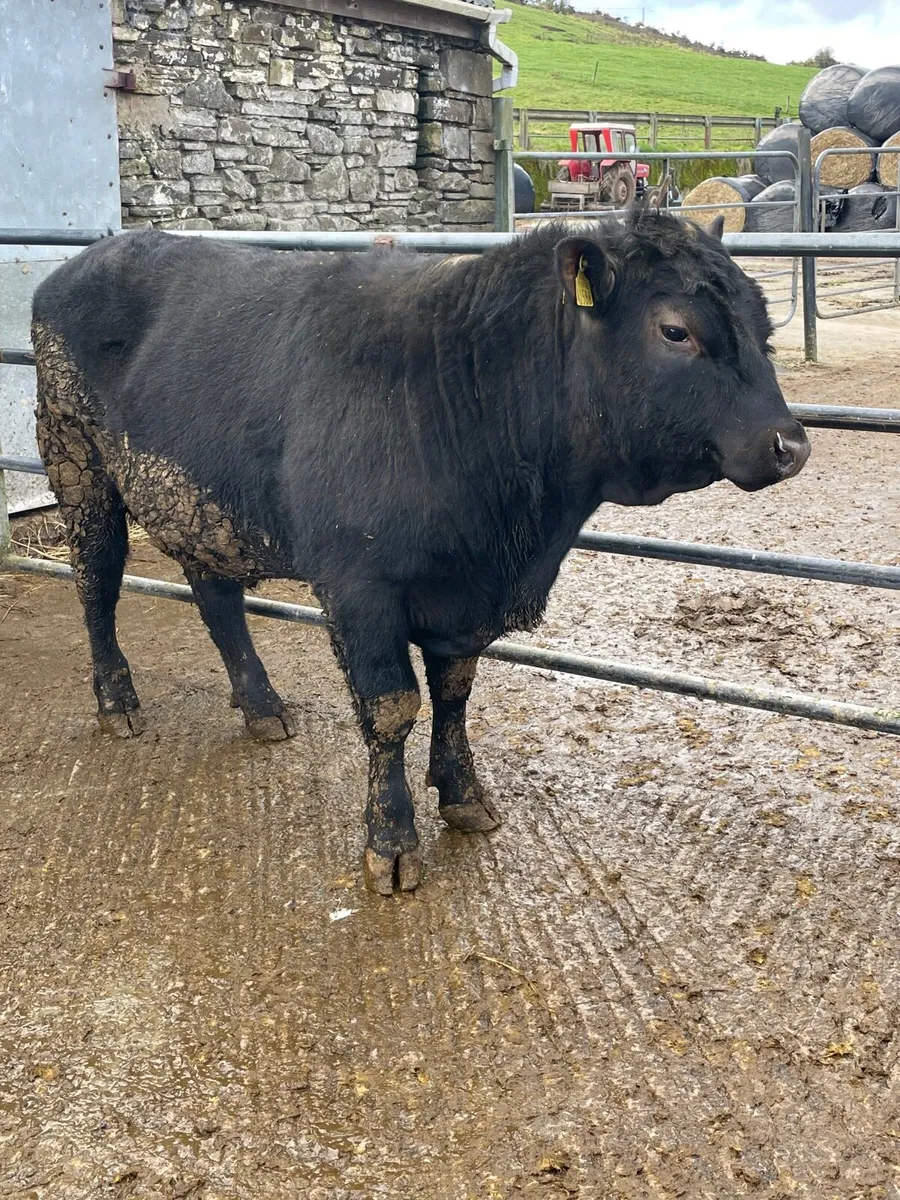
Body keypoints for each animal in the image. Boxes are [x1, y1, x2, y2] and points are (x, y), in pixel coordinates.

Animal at [31, 213, 810, 894]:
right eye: (676, 330)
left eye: (765, 329)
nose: (790, 444)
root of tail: (93, 255)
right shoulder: (359, 586)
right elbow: (391, 710)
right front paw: (391, 842)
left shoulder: (463, 598)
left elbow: (455, 693)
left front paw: (465, 795)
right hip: (77, 465)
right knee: (96, 582)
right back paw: (117, 701)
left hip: (203, 502)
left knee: (217, 598)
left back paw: (262, 707)